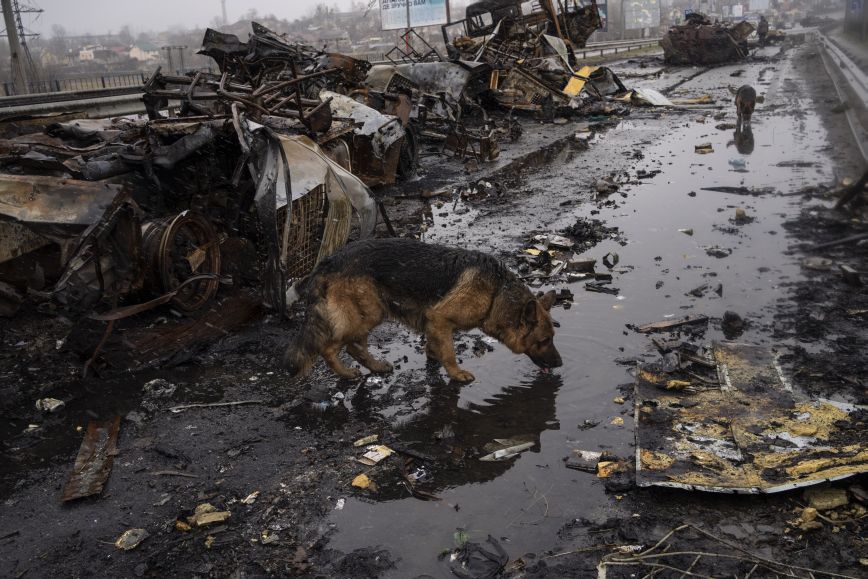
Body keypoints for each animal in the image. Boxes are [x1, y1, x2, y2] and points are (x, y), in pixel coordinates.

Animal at [280, 238, 564, 382]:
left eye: (552, 338)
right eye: (544, 340)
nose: (560, 364)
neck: (497, 292)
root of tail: (326, 262)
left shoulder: (433, 323)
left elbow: (434, 345)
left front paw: (433, 358)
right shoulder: (440, 318)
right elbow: (449, 352)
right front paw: (456, 373)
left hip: (369, 313)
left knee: (353, 347)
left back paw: (376, 367)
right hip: (367, 314)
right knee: (330, 348)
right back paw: (347, 373)